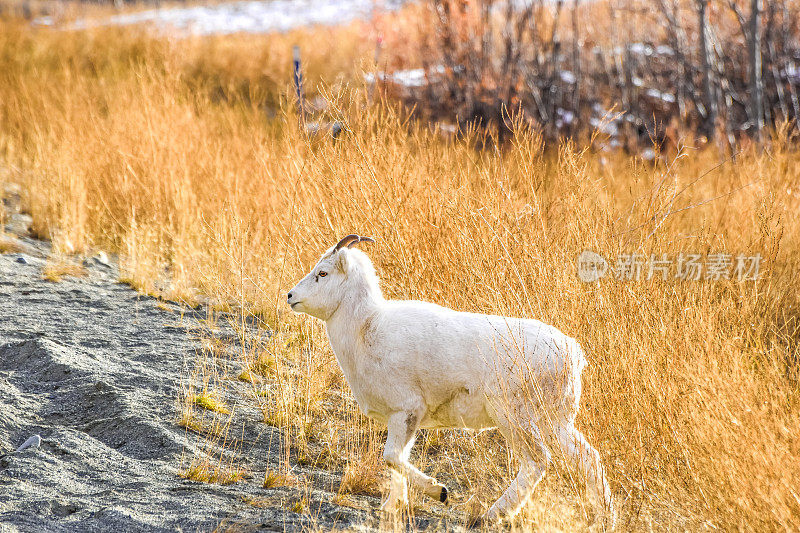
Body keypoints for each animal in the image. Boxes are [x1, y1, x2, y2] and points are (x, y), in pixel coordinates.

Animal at [290, 235, 620, 524]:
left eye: (322, 273)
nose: (291, 297)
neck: (366, 328)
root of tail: (572, 353)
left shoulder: (406, 411)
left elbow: (391, 458)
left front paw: (440, 493)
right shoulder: (405, 421)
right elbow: (397, 462)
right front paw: (392, 508)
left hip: (516, 420)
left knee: (538, 462)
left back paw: (492, 515)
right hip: (555, 423)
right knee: (589, 460)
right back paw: (605, 519)